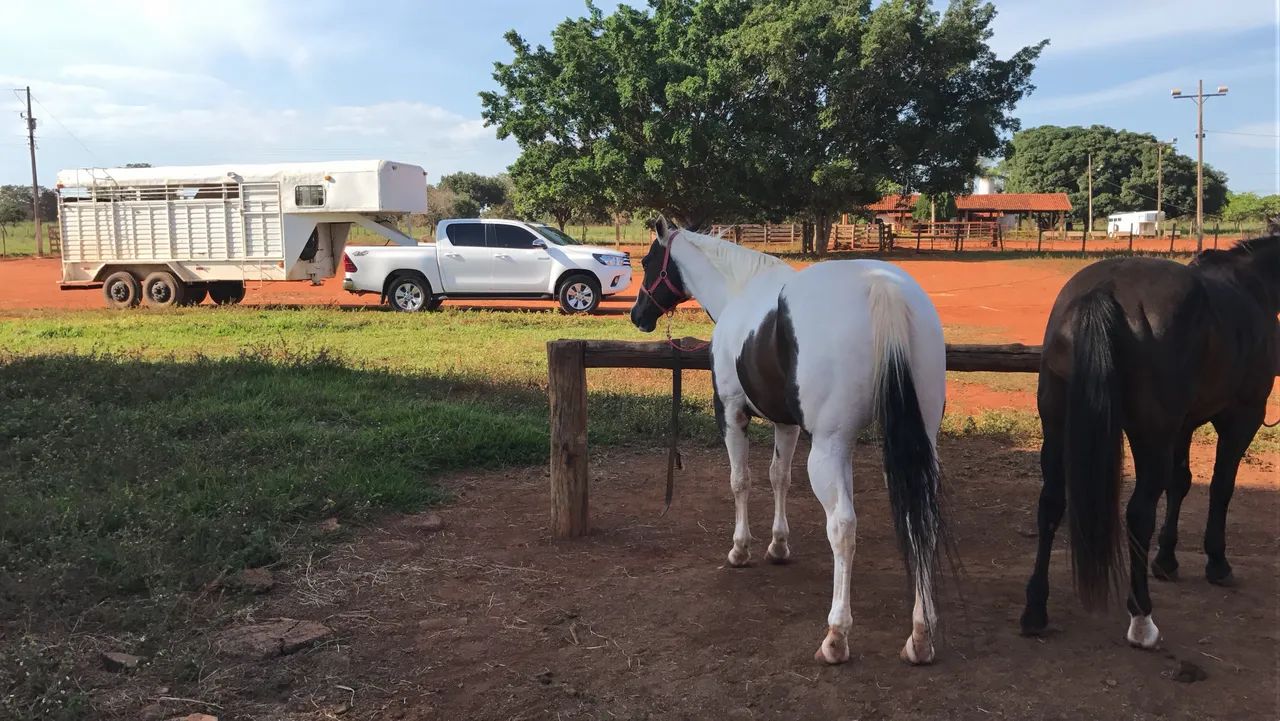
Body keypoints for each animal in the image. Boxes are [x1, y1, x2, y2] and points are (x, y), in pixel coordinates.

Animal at [629, 217, 949, 665]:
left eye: (646, 261)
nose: (637, 314)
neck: (739, 289)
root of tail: (881, 287)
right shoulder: (787, 424)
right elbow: (779, 477)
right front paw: (778, 546)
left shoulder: (730, 412)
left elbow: (741, 480)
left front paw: (741, 549)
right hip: (915, 446)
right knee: (921, 521)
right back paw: (920, 636)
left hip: (829, 449)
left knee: (843, 527)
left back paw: (836, 637)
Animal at [1020, 235, 1280, 648]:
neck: (1254, 285)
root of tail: (1104, 289)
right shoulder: (1242, 417)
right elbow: (1221, 487)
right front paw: (1217, 562)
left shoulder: (1185, 424)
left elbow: (1181, 483)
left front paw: (1167, 559)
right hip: (1150, 435)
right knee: (1139, 512)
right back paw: (1142, 617)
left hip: (1057, 423)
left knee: (1051, 504)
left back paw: (1035, 609)